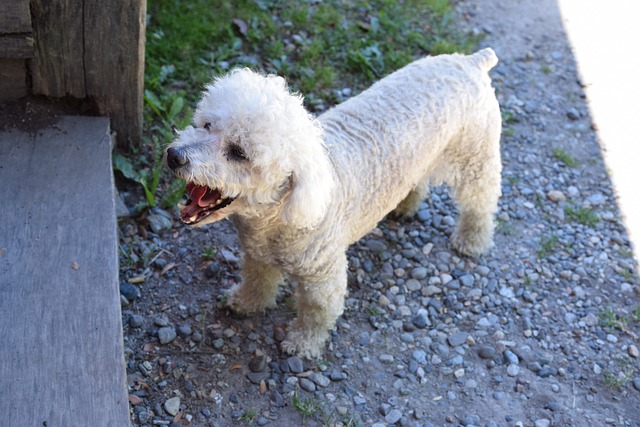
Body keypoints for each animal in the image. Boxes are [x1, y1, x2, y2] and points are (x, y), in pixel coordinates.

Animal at [164, 48, 500, 360]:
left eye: (238, 152)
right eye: (207, 125)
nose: (173, 156)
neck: (279, 217)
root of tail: (471, 60)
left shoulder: (322, 276)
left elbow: (317, 311)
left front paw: (303, 344)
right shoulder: (257, 255)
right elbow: (257, 281)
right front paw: (245, 303)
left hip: (476, 158)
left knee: (481, 201)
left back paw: (471, 240)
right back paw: (405, 206)